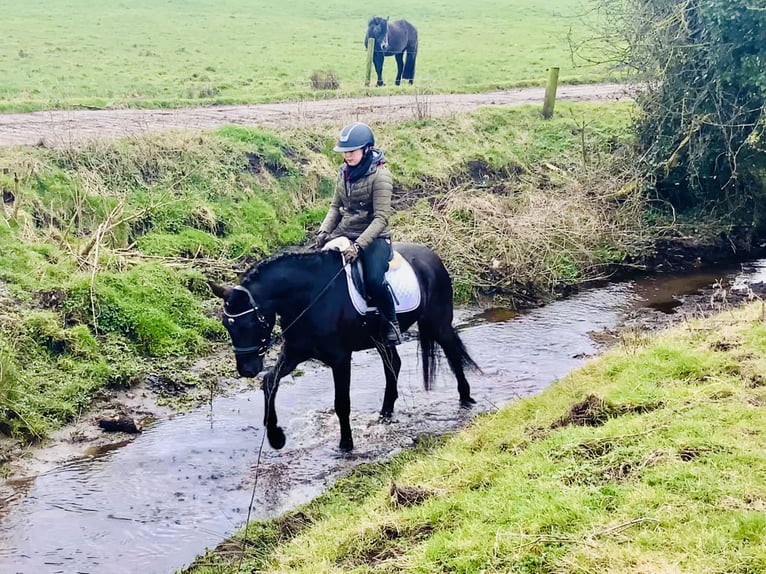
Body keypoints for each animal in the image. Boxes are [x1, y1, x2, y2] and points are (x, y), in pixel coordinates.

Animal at [208, 245, 474, 452]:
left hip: (437, 323)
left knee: (453, 353)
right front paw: (276, 437)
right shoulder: (295, 352)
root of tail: (432, 256)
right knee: (394, 365)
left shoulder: (340, 359)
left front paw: (346, 444)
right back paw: (384, 414)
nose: (246, 369)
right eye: (226, 324)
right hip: (381, 339)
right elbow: (270, 382)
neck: (309, 297)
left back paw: (466, 398)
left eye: (251, 323)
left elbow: (341, 403)